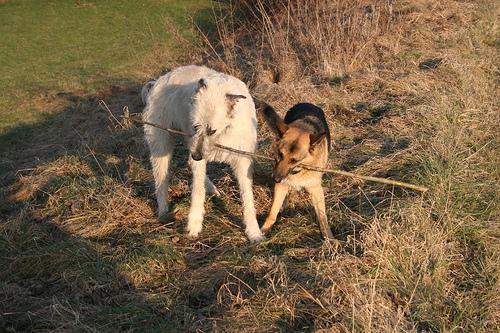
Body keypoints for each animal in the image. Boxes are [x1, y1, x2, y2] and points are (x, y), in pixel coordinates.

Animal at [142, 65, 264, 241]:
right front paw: (194, 224)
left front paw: (253, 231)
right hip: (162, 145)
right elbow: (197, 190)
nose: (198, 156)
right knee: (161, 181)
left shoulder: (242, 159)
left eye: (212, 130)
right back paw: (164, 211)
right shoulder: (196, 149)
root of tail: (157, 82)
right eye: (196, 126)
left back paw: (212, 189)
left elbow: (247, 196)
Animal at [260, 102, 334, 239]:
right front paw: (262, 232)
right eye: (280, 155)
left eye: (294, 160)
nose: (275, 179)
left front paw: (329, 238)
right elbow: (272, 213)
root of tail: (305, 103)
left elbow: (322, 218)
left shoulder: (316, 190)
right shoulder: (281, 185)